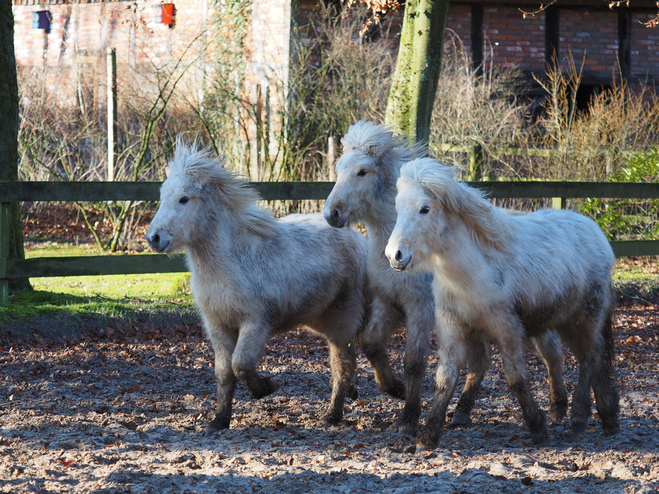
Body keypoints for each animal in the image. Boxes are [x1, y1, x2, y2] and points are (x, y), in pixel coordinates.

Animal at [146, 139, 368, 432]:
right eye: (162, 197)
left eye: (184, 199)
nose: (154, 238)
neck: (231, 263)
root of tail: (357, 239)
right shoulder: (218, 328)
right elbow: (224, 374)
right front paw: (219, 420)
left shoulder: (255, 323)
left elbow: (240, 365)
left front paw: (266, 387)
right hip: (321, 321)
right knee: (346, 360)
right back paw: (349, 396)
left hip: (342, 320)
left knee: (342, 364)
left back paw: (332, 415)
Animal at [384, 157, 620, 448]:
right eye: (398, 207)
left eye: (424, 209)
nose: (394, 255)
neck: (473, 271)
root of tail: (596, 232)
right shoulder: (452, 326)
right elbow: (445, 379)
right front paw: (428, 435)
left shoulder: (507, 328)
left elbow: (516, 379)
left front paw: (538, 429)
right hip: (565, 322)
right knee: (587, 355)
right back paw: (607, 417)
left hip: (588, 315)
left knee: (590, 355)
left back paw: (579, 415)